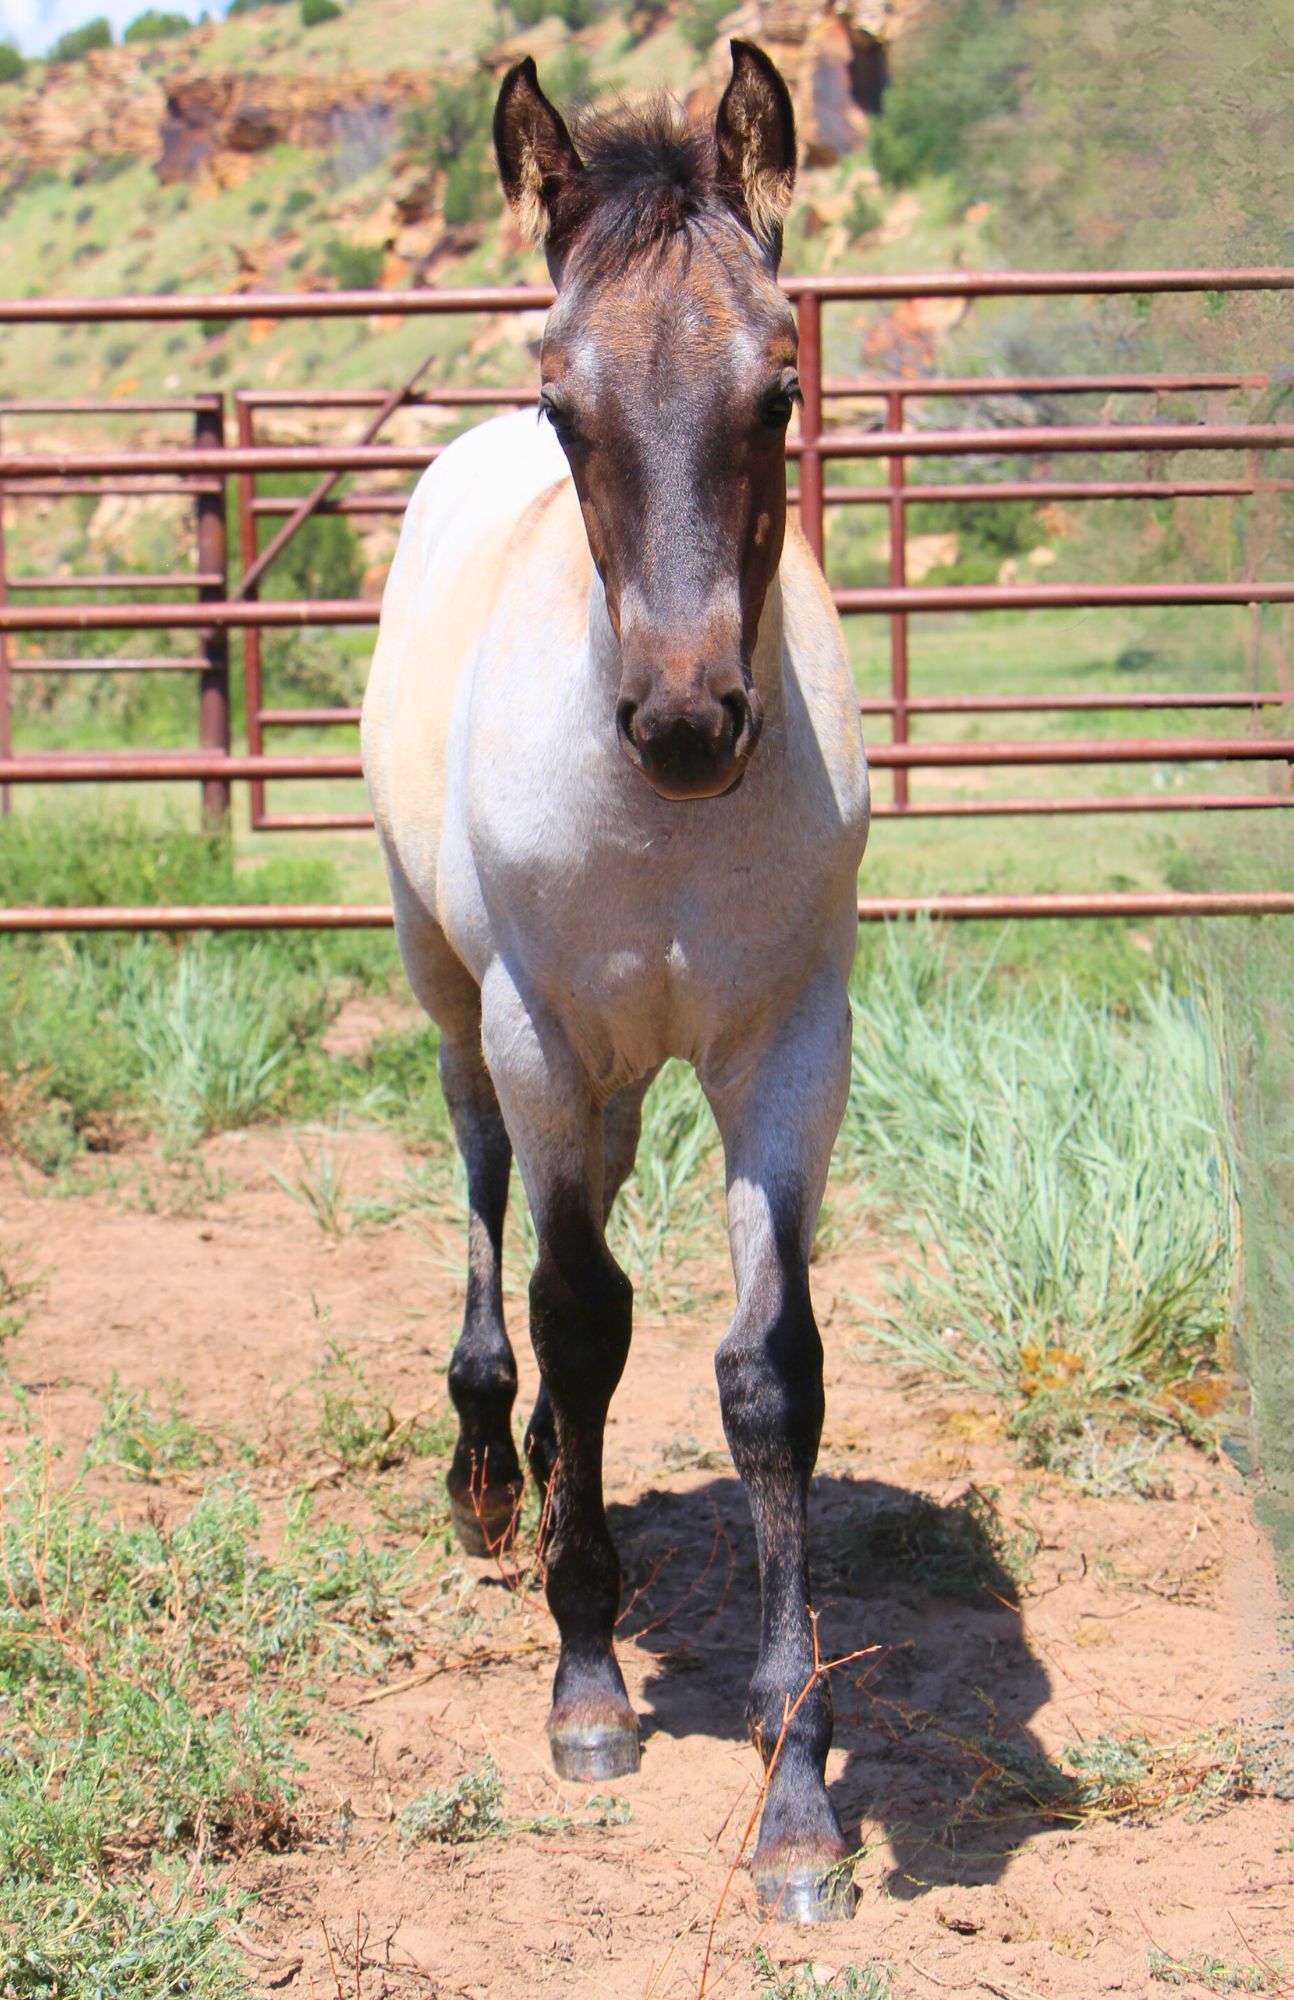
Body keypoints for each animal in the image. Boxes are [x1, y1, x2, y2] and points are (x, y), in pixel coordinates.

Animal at [361, 41, 870, 1922]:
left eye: (778, 390)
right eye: (567, 406)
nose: (685, 721)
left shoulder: (789, 1041)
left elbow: (764, 1374)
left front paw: (794, 1796)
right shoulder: (538, 1021)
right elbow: (582, 1315)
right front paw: (585, 1684)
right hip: (459, 1000)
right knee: (490, 1193)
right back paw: (486, 1472)